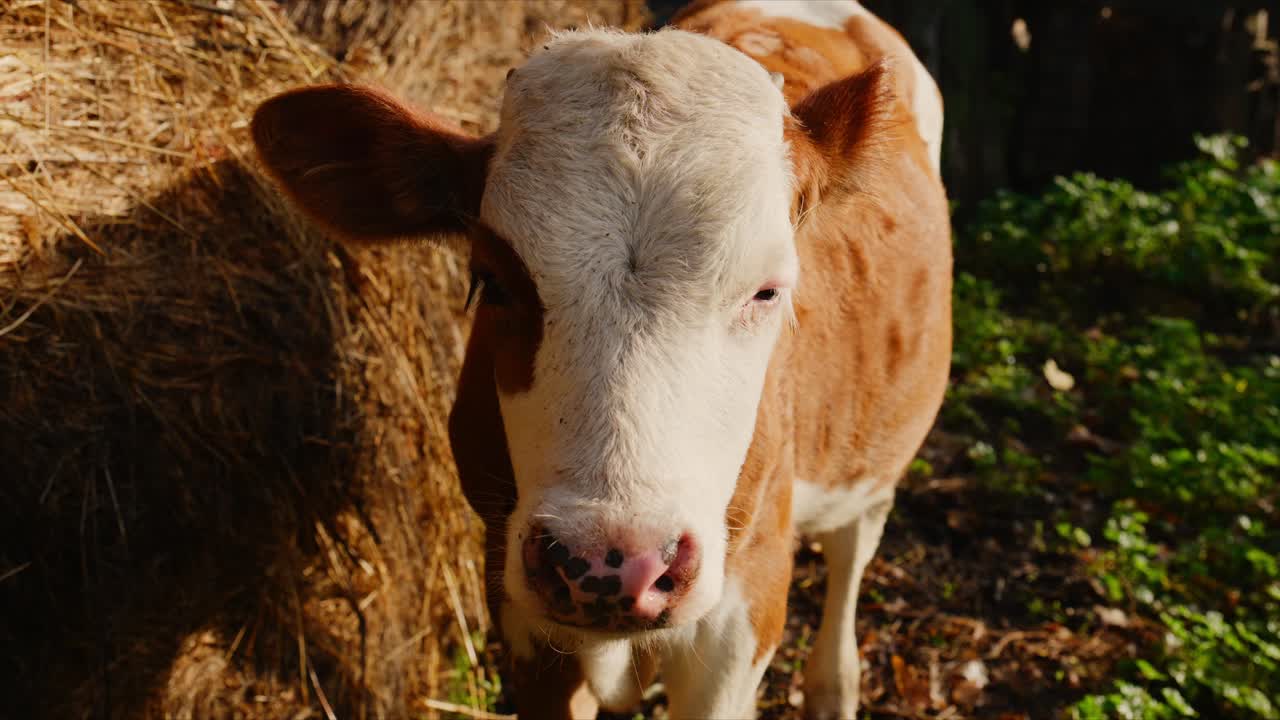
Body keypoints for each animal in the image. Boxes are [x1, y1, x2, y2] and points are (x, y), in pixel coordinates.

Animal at [250, 1, 950, 717]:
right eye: (492, 280)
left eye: (767, 290)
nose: (613, 564)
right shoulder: (517, 605)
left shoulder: (741, 617)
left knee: (852, 549)